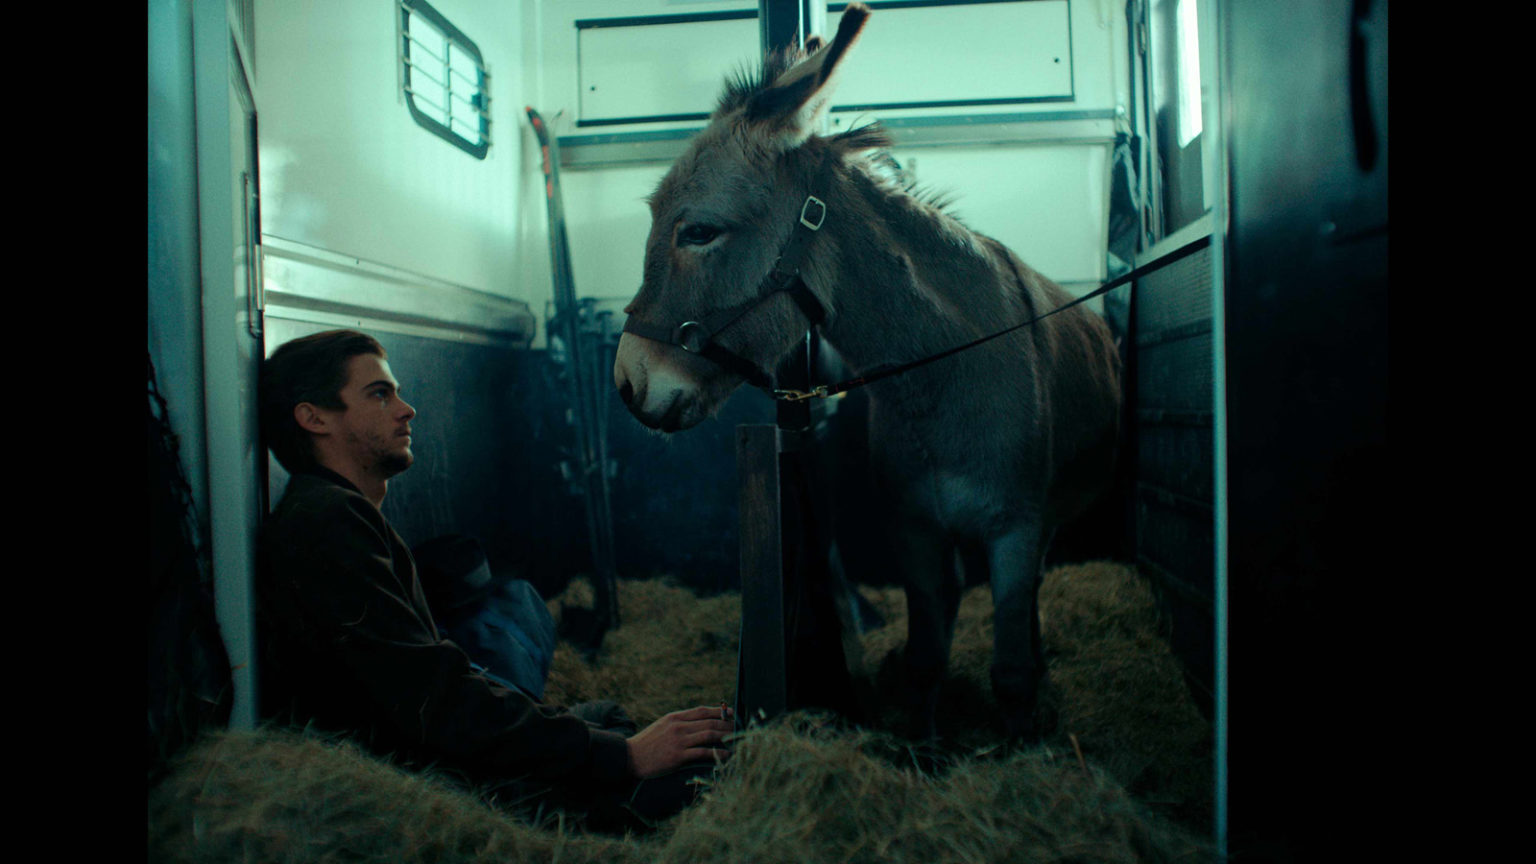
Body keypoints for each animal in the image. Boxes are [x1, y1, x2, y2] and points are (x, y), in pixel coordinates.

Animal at [612, 3, 1121, 741]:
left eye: (699, 232)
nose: (627, 383)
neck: (941, 378)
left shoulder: (1017, 526)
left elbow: (1009, 673)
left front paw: (1023, 736)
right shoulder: (913, 530)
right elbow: (925, 658)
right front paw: (920, 739)